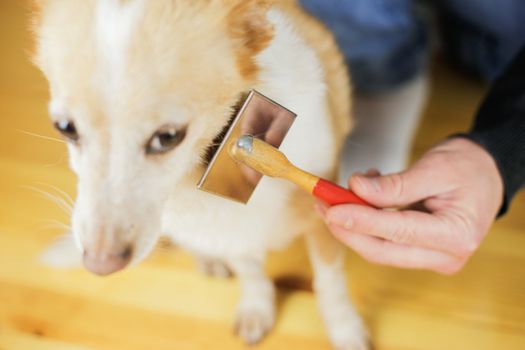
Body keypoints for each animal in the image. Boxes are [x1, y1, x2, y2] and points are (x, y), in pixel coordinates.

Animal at [31, 0, 368, 348]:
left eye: (168, 137)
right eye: (65, 127)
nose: (99, 265)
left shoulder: (321, 221)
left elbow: (329, 282)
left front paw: (344, 328)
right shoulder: (228, 236)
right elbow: (251, 274)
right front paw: (256, 307)